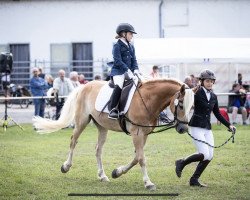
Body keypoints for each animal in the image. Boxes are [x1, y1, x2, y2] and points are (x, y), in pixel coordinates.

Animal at [32, 78, 193, 191]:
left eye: (192, 106)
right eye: (180, 104)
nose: (183, 128)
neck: (147, 100)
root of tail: (85, 86)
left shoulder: (144, 134)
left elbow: (136, 158)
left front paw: (117, 172)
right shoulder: (137, 133)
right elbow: (141, 158)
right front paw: (148, 183)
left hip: (102, 127)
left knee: (98, 149)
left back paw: (102, 175)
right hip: (81, 122)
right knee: (73, 141)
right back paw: (66, 166)